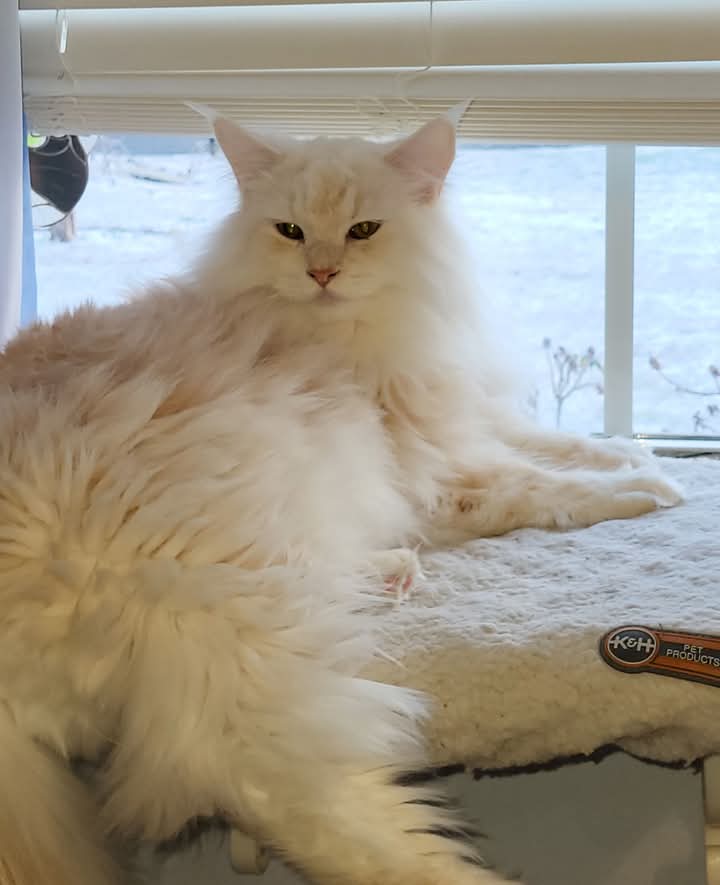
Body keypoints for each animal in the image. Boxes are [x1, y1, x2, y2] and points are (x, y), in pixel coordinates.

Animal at [0, 114, 681, 885]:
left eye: (363, 230)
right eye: (291, 231)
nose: (321, 273)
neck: (345, 337)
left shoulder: (456, 421)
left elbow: (557, 443)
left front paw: (641, 458)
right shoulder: (433, 473)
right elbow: (545, 486)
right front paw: (648, 490)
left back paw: (393, 574)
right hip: (237, 624)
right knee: (290, 794)